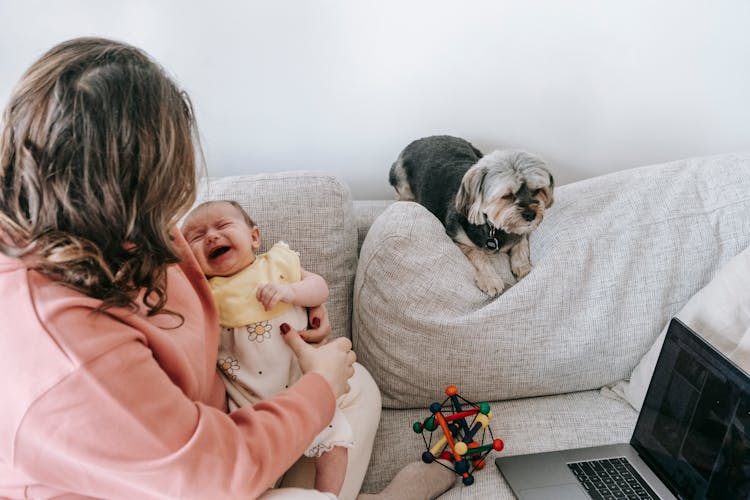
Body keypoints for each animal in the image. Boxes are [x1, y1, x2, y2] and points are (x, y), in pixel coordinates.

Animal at [390, 135, 556, 294]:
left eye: (537, 190)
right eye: (507, 195)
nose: (531, 215)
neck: (494, 228)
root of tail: (422, 139)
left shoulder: (521, 229)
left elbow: (521, 241)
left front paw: (522, 265)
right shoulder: (458, 238)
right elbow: (477, 254)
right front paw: (490, 280)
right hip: (401, 180)